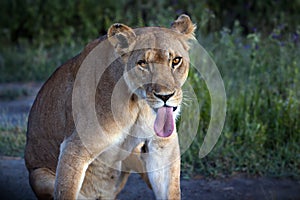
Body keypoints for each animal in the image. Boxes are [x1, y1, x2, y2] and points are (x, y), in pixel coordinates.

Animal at [24, 14, 196, 199]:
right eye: (142, 63)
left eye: (176, 61)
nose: (165, 97)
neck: (138, 105)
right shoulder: (74, 148)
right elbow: (66, 190)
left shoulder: (162, 146)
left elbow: (171, 191)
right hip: (38, 175)